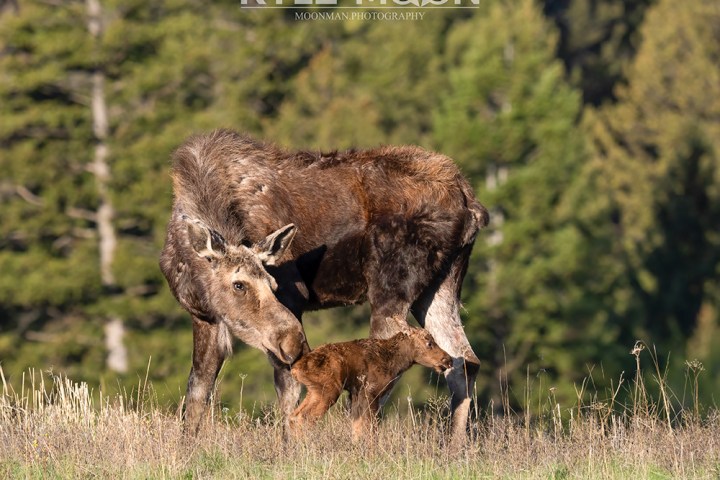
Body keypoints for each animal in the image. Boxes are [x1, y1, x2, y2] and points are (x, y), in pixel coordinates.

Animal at [159, 129, 488, 447]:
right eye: (238, 284)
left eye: (273, 282)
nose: (294, 340)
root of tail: (471, 204)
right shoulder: (204, 317)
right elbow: (197, 392)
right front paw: (186, 450)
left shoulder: (293, 298)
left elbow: (287, 392)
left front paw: (287, 450)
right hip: (439, 287)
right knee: (464, 361)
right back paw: (454, 449)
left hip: (391, 288)